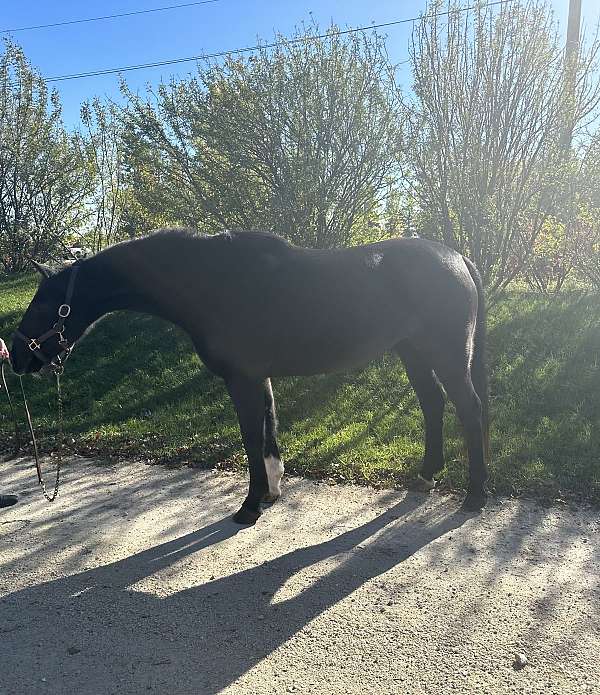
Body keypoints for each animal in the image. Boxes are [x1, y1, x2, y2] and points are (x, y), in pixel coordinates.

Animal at [10, 229, 489, 524]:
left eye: (45, 303)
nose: (15, 357)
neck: (214, 284)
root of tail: (458, 258)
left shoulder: (242, 380)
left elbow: (250, 438)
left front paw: (249, 506)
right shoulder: (259, 379)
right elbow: (268, 430)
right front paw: (271, 493)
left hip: (446, 354)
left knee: (469, 410)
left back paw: (475, 496)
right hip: (413, 352)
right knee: (433, 404)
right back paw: (426, 476)